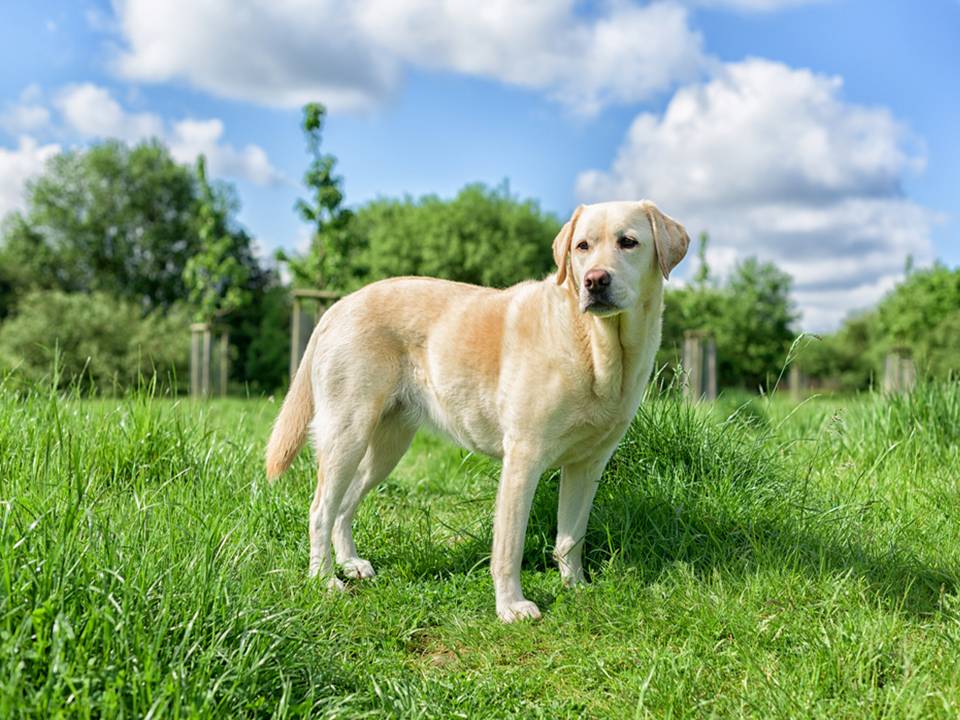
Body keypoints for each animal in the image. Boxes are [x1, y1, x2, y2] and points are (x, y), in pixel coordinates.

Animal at [266, 200, 688, 620]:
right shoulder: (523, 459)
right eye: (582, 247)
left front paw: (575, 587)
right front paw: (511, 606)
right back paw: (324, 579)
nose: (595, 281)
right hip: (347, 435)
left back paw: (351, 563)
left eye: (628, 242)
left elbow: (571, 536)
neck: (596, 348)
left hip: (386, 448)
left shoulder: (588, 466)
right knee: (320, 509)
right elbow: (509, 545)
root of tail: (337, 306)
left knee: (344, 506)